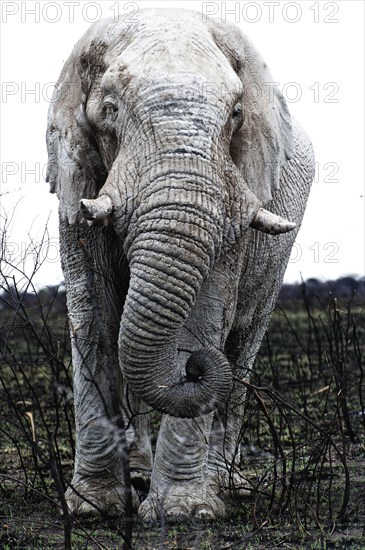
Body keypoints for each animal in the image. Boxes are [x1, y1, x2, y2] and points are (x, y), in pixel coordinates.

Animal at [45, 9, 312, 528]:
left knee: (241, 346)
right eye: (109, 110)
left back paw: (223, 484)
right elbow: (95, 319)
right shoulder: (76, 179)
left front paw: (185, 513)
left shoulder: (237, 192)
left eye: (236, 114)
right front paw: (92, 509)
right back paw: (139, 477)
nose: (192, 369)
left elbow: (205, 314)